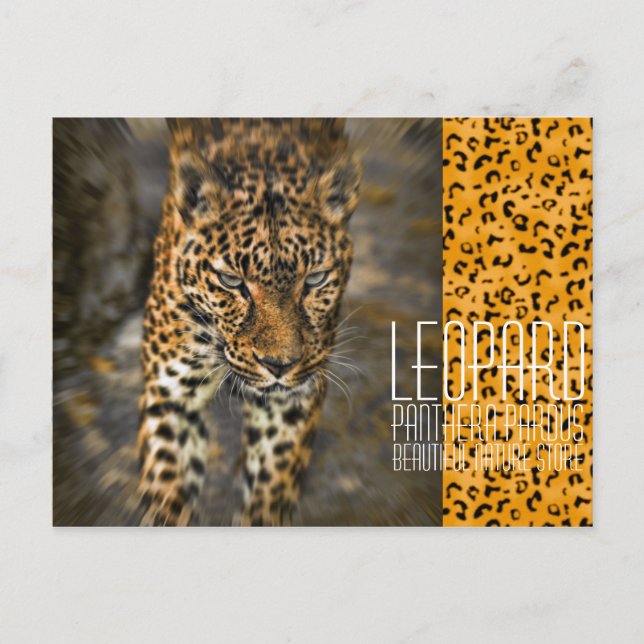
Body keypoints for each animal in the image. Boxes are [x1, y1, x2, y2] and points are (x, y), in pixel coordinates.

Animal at [137, 118, 361, 526]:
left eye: (316, 279)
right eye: (231, 281)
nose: (279, 365)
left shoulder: (291, 401)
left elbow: (270, 485)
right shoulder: (170, 396)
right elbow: (167, 486)